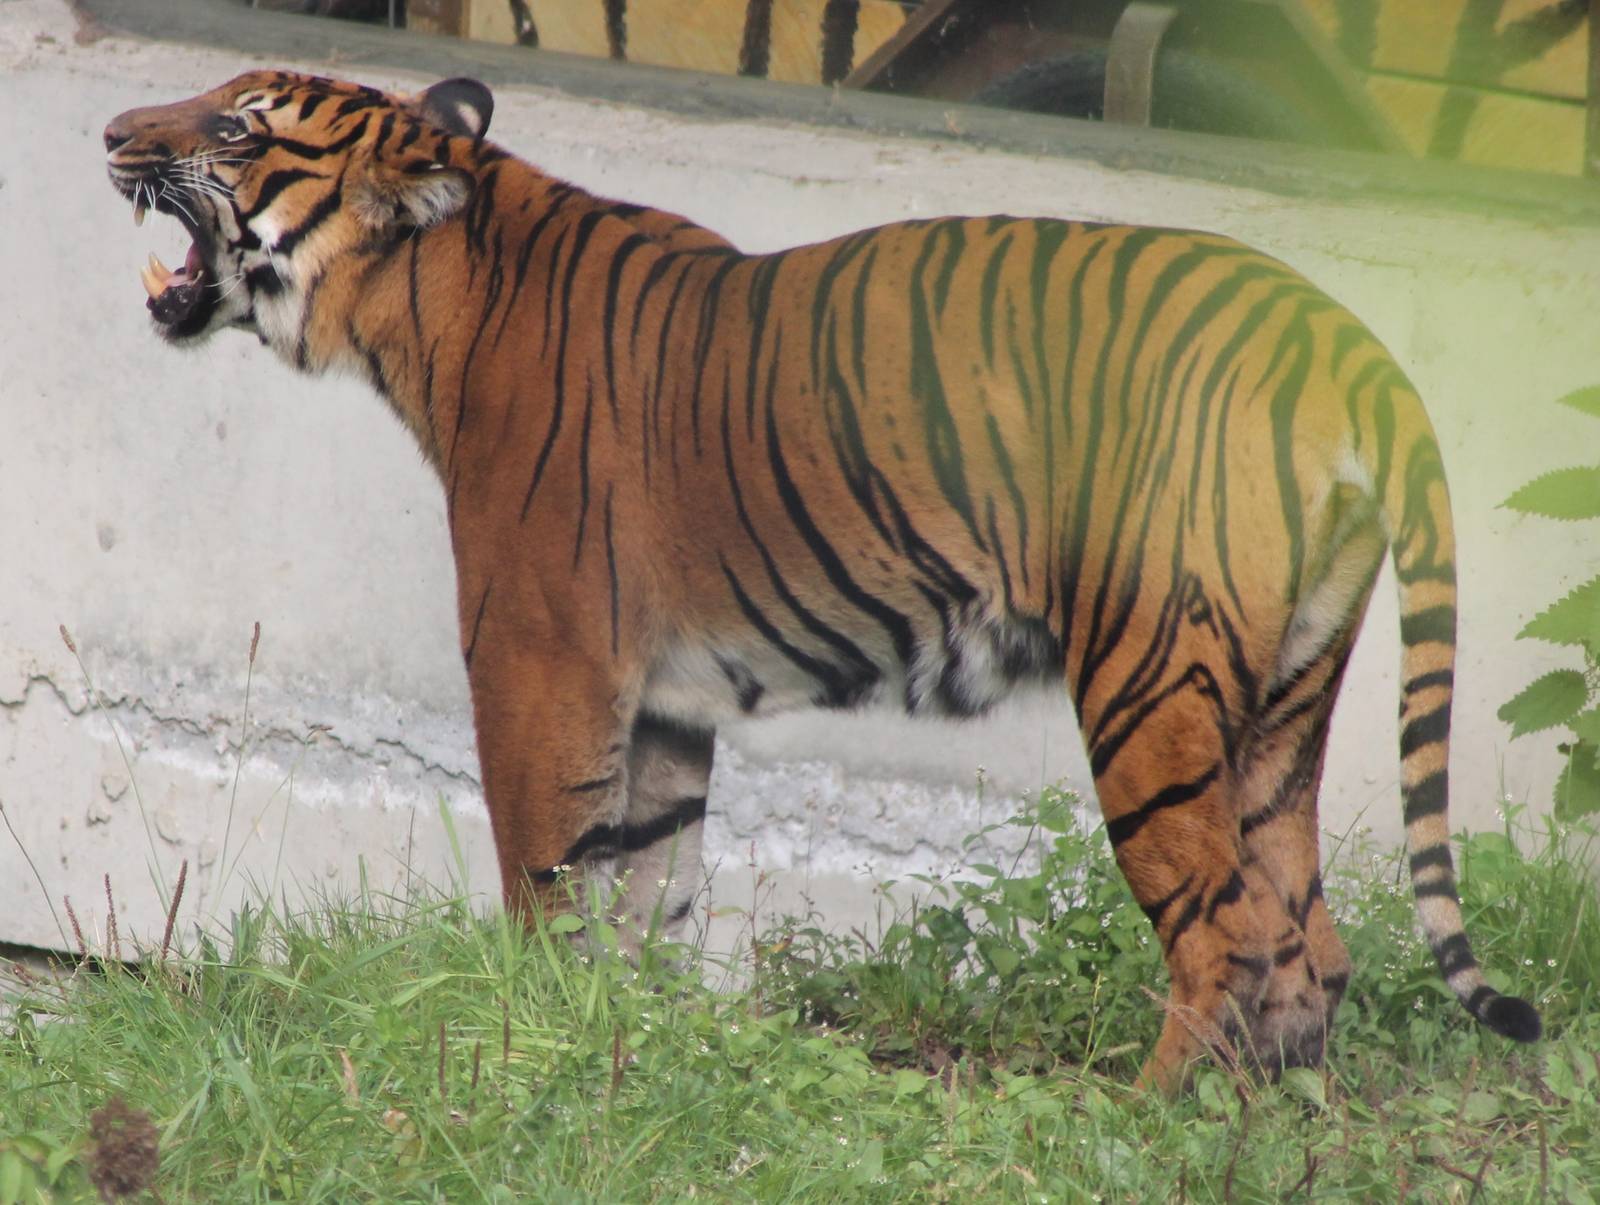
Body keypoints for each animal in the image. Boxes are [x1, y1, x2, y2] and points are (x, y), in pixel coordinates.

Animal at [103, 70, 1539, 1091]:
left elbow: (544, 877)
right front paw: (630, 1051)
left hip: (1152, 682)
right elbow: (655, 894)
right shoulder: (662, 701)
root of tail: (1343, 340)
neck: (429, 306)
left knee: (1227, 939)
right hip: (1287, 699)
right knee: (1312, 951)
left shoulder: (538, 661)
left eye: (234, 125)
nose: (111, 130)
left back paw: (1145, 1119)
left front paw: (524, 1041)